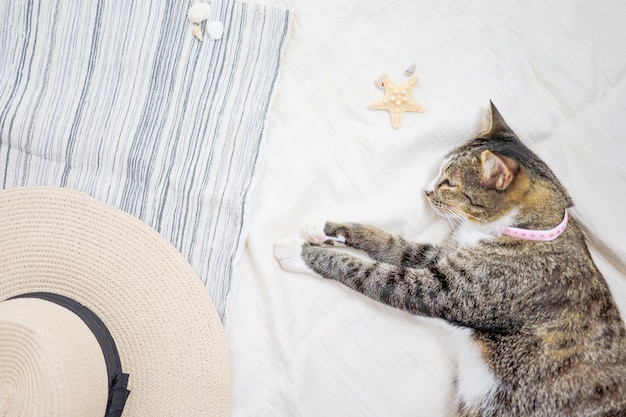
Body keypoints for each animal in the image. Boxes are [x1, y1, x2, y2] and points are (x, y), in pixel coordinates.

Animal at [276, 102, 624, 414]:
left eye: (449, 182)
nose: (426, 189)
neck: (525, 229)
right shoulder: (440, 256)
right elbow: (391, 242)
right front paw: (325, 230)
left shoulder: (444, 291)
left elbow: (366, 270)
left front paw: (299, 252)